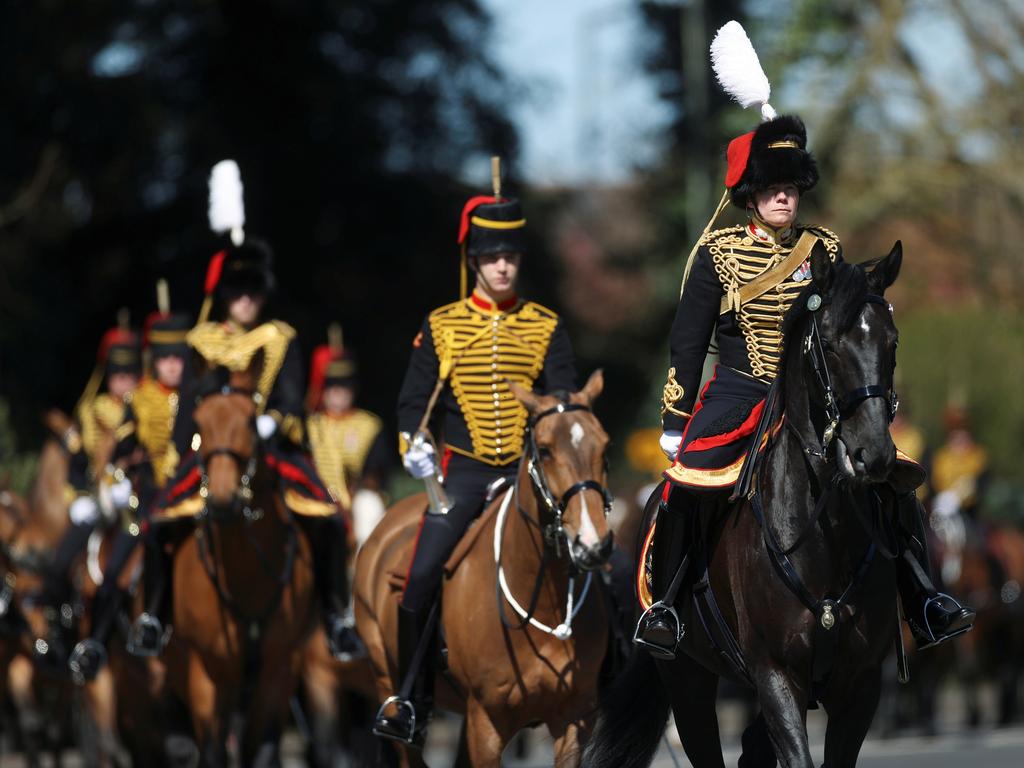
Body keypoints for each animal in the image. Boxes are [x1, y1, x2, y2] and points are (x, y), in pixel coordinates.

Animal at [356, 370, 610, 765]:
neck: (541, 600)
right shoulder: (486, 723)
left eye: (604, 446)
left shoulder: (573, 721)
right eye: (545, 449)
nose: (592, 542)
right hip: (388, 680)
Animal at [589, 243, 909, 768]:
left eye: (893, 343)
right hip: (688, 682)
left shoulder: (860, 686)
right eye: (828, 343)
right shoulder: (774, 674)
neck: (823, 528)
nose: (873, 454)